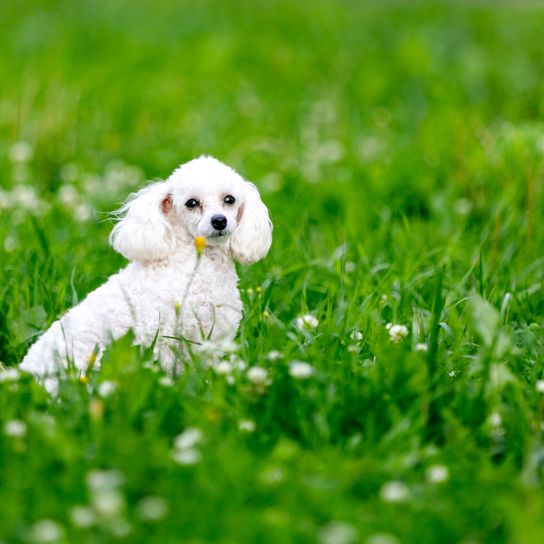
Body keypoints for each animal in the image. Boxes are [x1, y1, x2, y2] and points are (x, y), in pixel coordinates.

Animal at [20, 155, 272, 388]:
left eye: (229, 199)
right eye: (191, 203)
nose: (219, 221)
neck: (196, 263)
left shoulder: (213, 335)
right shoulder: (160, 335)